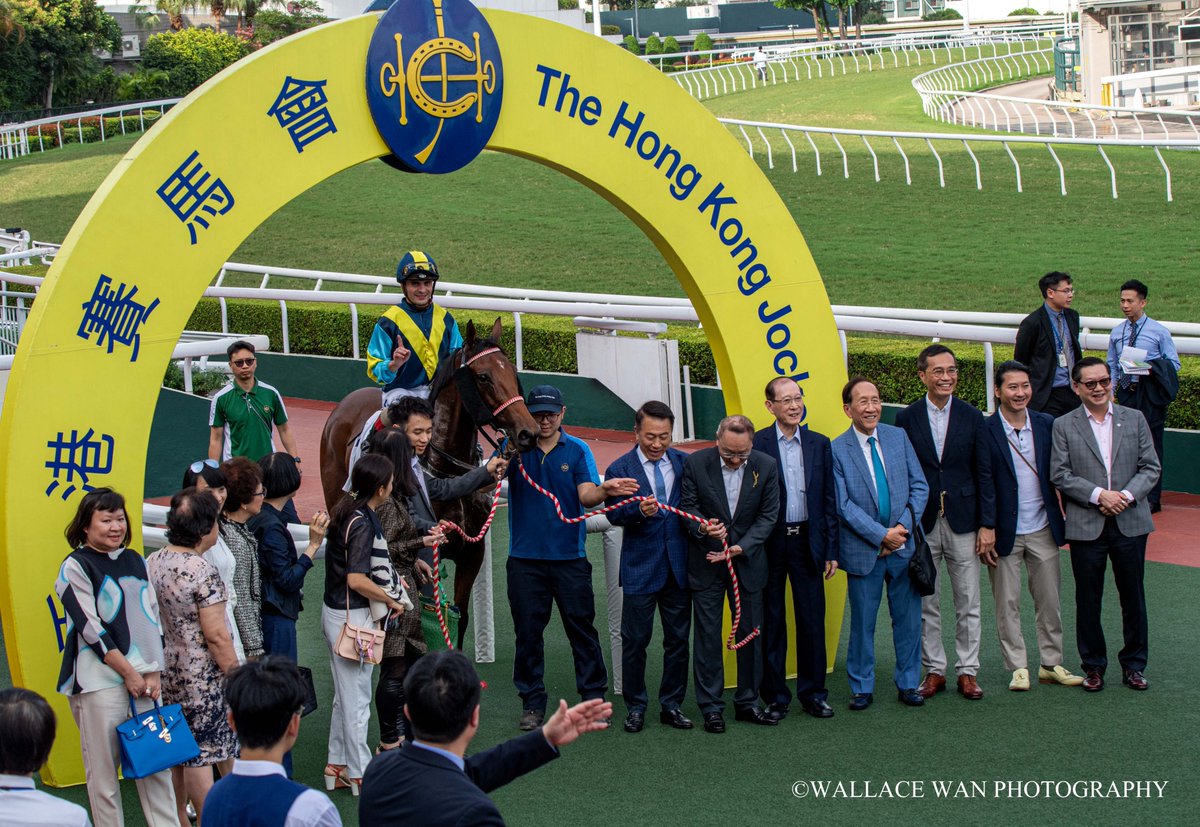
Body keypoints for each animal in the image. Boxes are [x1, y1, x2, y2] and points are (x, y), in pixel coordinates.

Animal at [324, 319, 540, 648]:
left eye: (513, 373)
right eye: (484, 377)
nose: (528, 432)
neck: (446, 469)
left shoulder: (471, 553)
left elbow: (459, 617)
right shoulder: (427, 554)